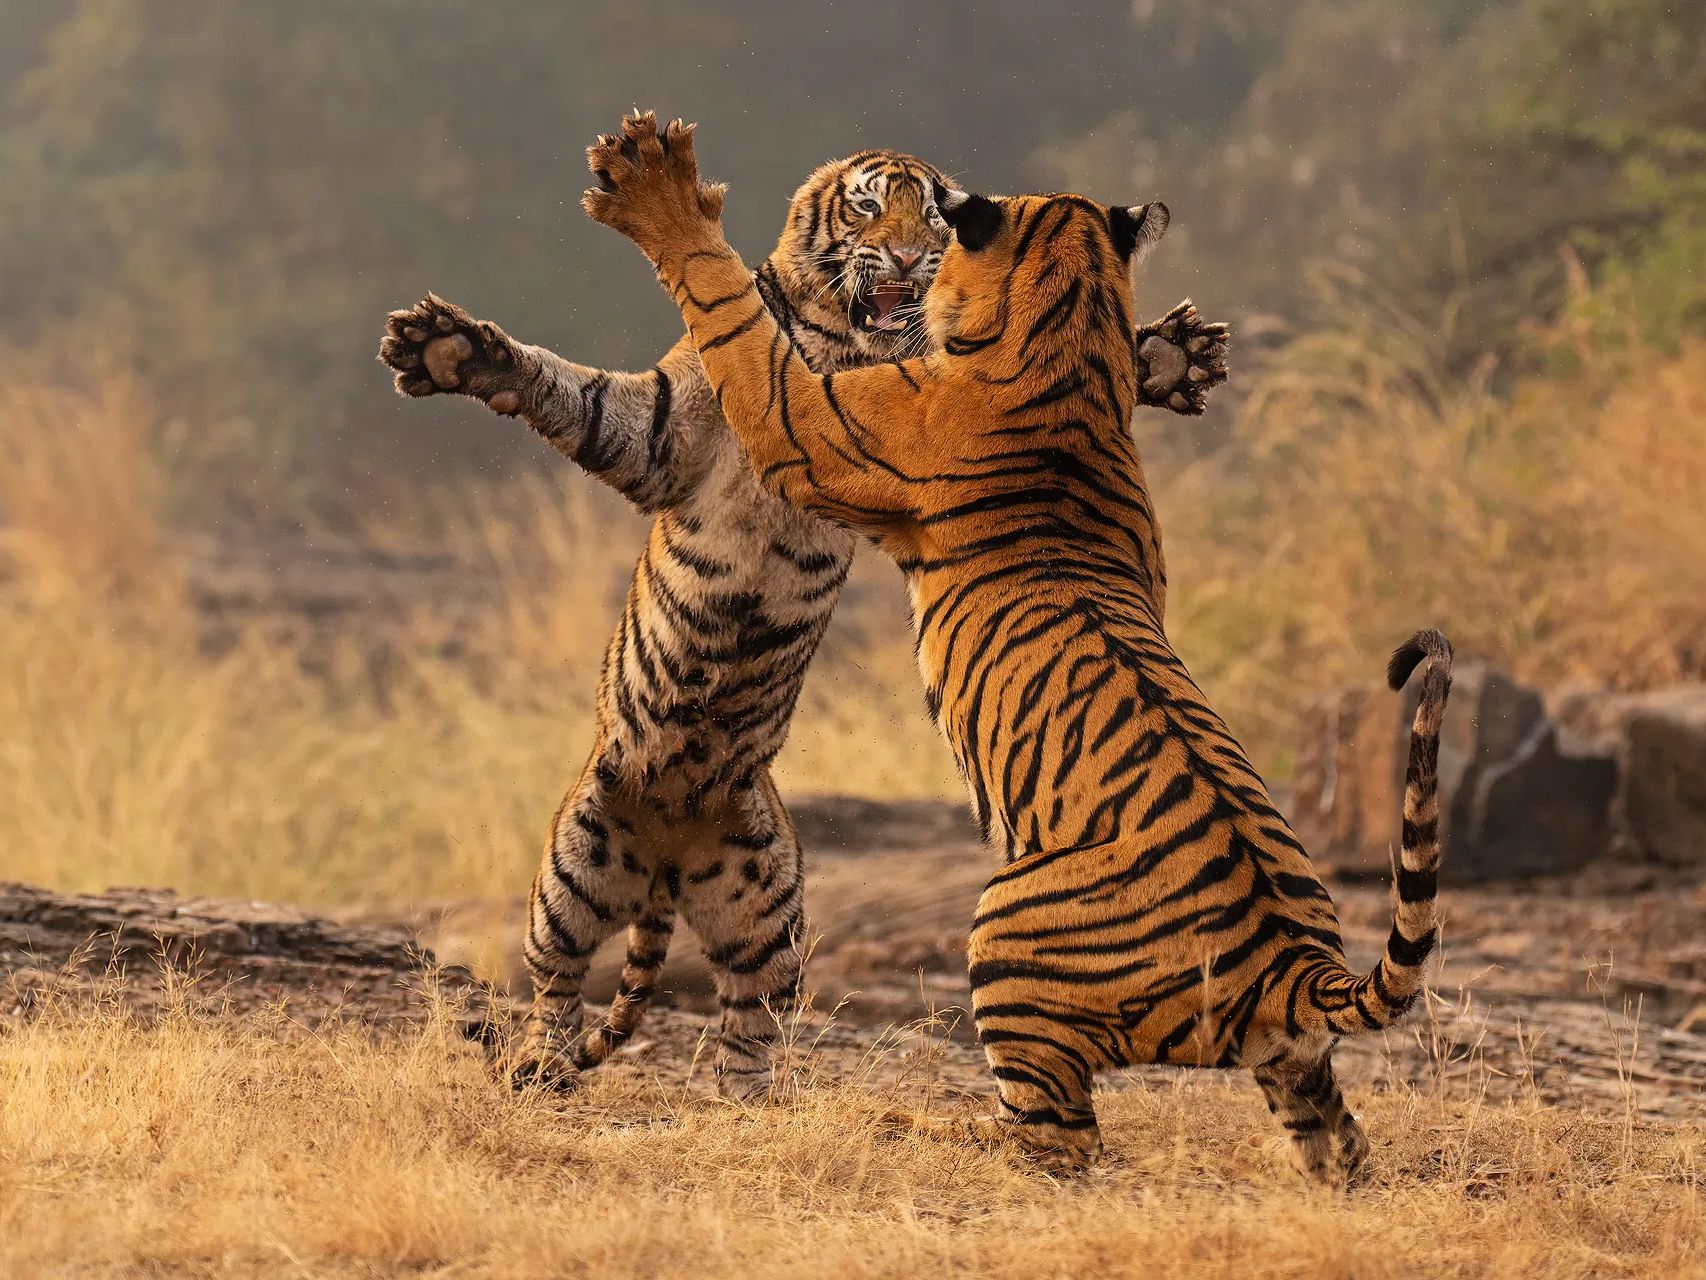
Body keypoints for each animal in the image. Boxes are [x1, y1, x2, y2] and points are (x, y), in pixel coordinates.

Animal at [377, 149, 1231, 1098]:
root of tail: (667, 856)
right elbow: (580, 395)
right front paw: (447, 348)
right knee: (555, 981)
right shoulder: (663, 434)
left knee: (752, 1014)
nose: (907, 259)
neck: (841, 341)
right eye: (867, 210)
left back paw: (749, 1099)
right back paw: (539, 1061)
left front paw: (1168, 354)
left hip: (767, 899)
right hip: (576, 860)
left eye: (930, 220)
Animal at [580, 110, 1454, 1181]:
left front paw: (659, 195)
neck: (1071, 332)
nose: (906, 254)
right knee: (1336, 1139)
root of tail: (1295, 960)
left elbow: (737, 320)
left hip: (1004, 941)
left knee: (1059, 1143)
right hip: (1291, 1064)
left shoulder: (815, 425)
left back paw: (942, 1137)